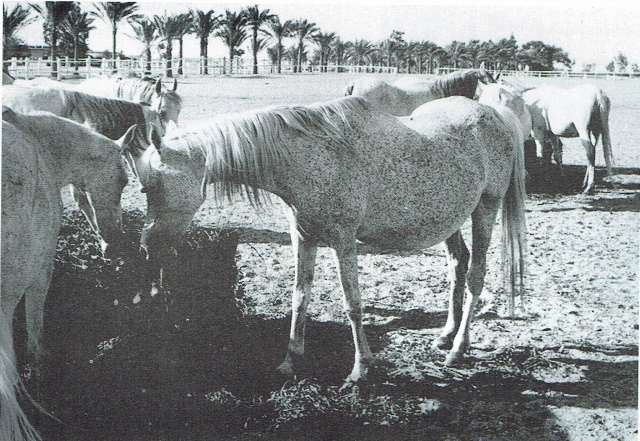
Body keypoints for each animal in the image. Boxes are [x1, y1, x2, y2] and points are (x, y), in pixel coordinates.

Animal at [135, 94, 524, 384]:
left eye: (152, 186)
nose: (146, 246)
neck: (308, 157)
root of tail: (494, 114)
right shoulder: (303, 237)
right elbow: (299, 297)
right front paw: (291, 361)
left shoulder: (343, 240)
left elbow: (353, 304)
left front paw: (360, 369)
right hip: (449, 220)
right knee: (458, 264)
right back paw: (445, 334)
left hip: (485, 209)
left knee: (476, 275)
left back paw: (459, 348)